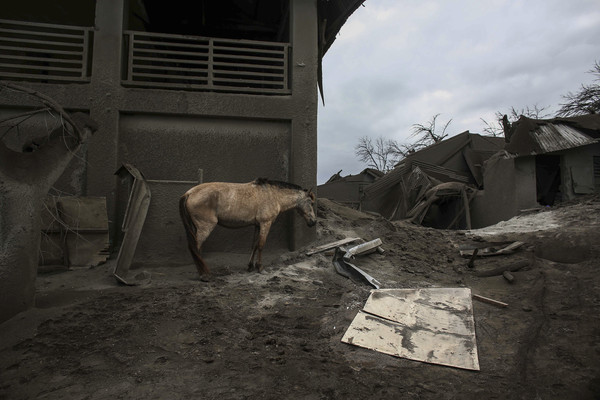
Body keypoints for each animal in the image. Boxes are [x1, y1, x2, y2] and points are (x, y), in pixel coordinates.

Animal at [179, 177, 316, 280]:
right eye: (310, 202)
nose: (313, 222)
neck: (273, 195)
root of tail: (189, 193)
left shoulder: (257, 225)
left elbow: (254, 245)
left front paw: (250, 266)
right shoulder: (265, 223)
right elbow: (261, 245)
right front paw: (260, 268)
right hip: (205, 227)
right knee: (195, 248)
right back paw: (204, 275)